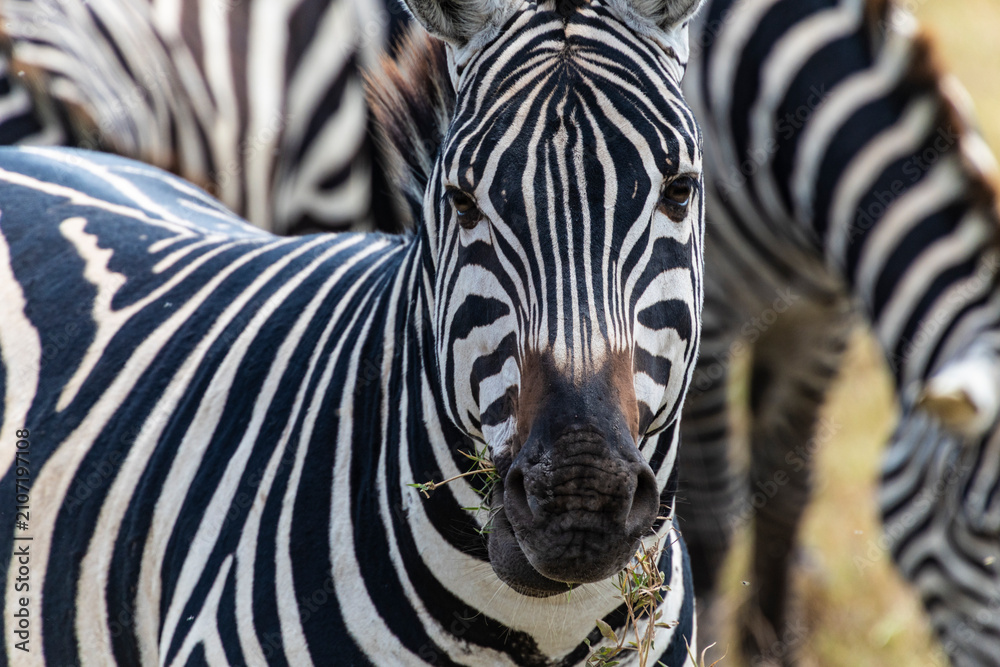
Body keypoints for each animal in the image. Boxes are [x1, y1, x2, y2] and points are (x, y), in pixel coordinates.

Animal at [675, 0, 1000, 664]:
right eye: (983, 533)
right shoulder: (707, 318)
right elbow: (712, 519)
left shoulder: (822, 320)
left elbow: (784, 498)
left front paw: (772, 651)